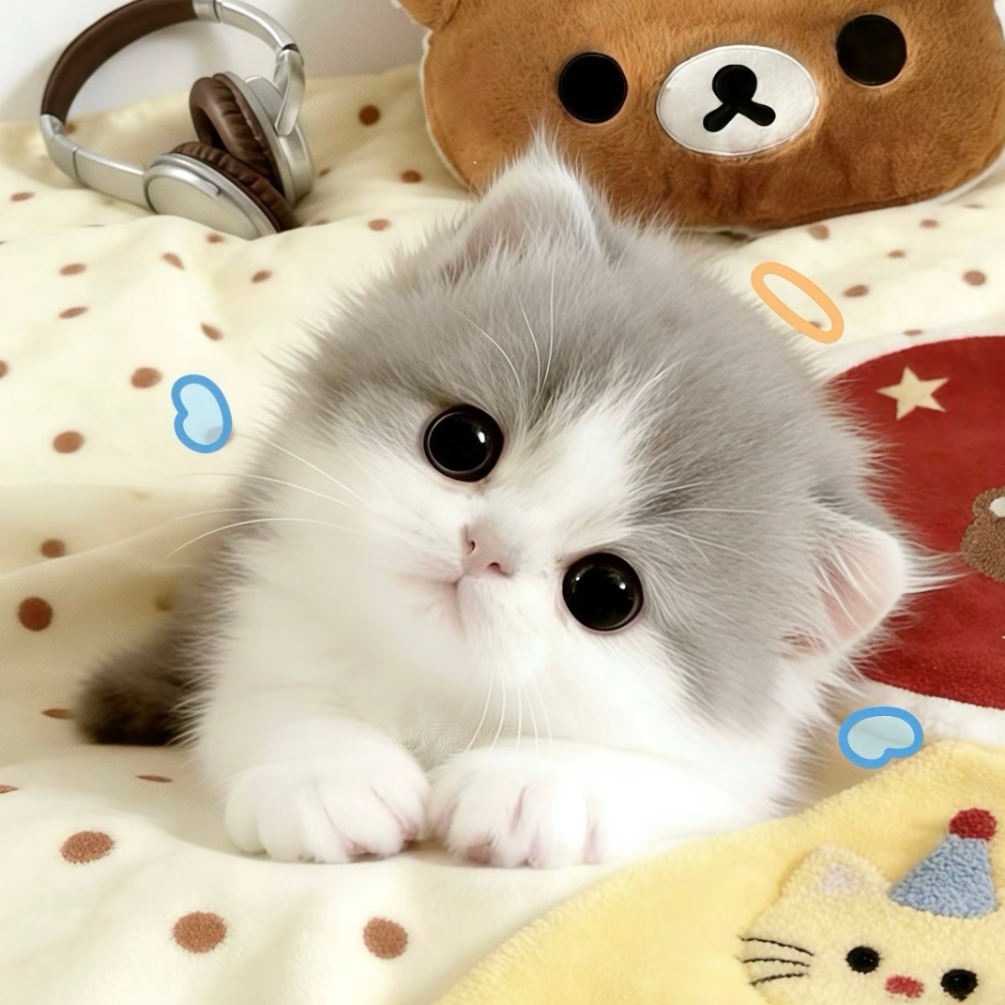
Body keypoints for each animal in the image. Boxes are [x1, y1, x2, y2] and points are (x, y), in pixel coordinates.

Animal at [75, 133, 918, 868]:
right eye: (460, 442)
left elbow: (668, 777)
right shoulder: (258, 607)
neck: (428, 685)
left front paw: (532, 785)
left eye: (605, 592)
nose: (486, 546)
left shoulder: (734, 780)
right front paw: (330, 775)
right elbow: (266, 700)